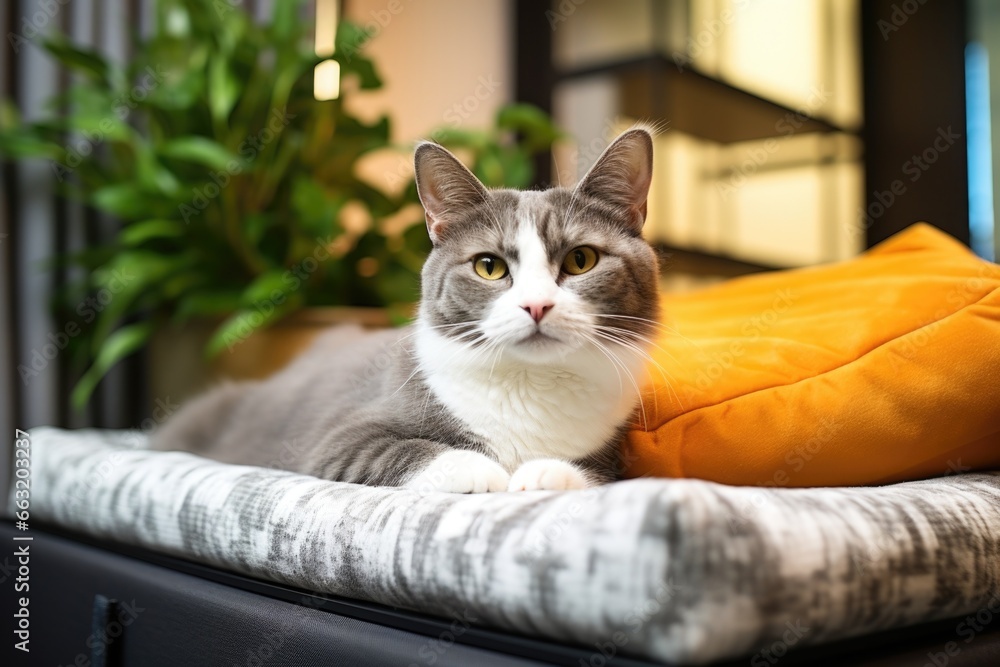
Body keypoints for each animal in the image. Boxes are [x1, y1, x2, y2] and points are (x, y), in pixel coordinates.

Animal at [152, 128, 660, 494]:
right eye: (489, 266)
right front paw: (485, 471)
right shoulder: (337, 436)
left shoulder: (611, 447)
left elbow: (598, 470)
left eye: (581, 260)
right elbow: (391, 449)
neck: (529, 385)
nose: (537, 304)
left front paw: (547, 472)